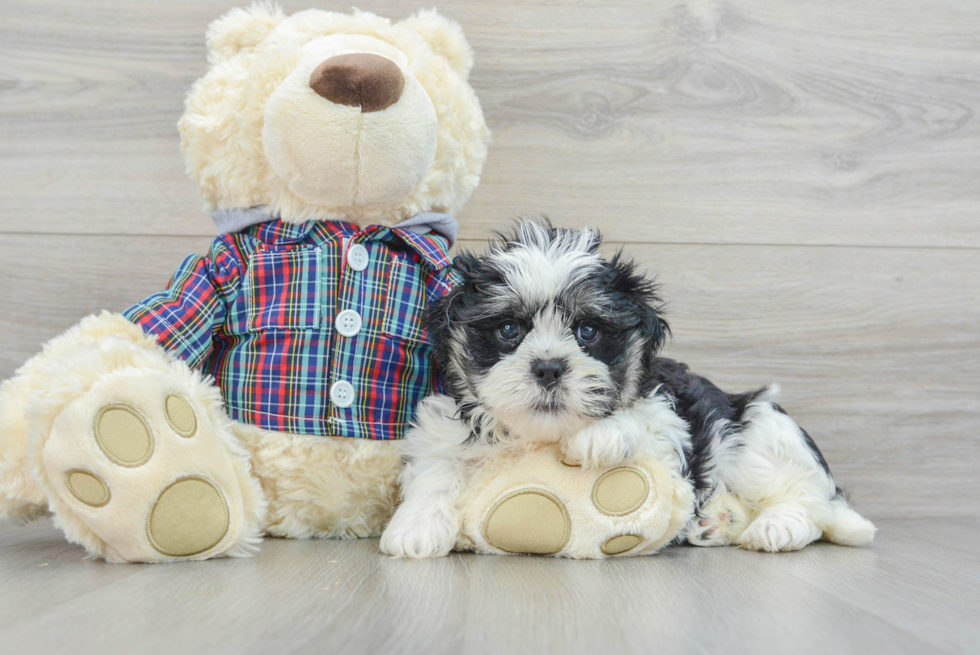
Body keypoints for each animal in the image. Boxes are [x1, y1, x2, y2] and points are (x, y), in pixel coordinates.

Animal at [378, 220, 876, 560]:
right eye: (507, 330)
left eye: (588, 331)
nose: (549, 368)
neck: (538, 436)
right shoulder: (441, 427)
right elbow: (436, 468)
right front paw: (415, 529)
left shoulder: (672, 419)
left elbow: (646, 416)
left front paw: (602, 434)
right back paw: (717, 522)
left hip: (760, 429)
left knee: (805, 500)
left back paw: (775, 528)